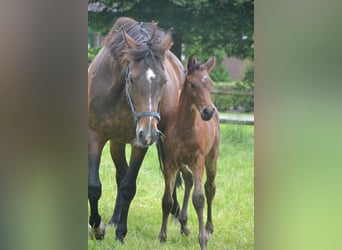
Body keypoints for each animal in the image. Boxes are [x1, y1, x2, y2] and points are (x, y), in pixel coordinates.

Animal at [88, 17, 184, 242]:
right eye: (131, 78)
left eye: (164, 81)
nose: (148, 133)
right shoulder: (95, 135)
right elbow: (94, 187)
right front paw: (98, 227)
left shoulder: (139, 144)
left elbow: (128, 186)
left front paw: (121, 233)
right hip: (117, 142)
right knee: (120, 174)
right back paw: (114, 219)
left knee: (171, 174)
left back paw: (175, 212)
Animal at [157, 55, 219, 250]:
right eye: (192, 84)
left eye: (211, 84)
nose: (208, 111)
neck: (184, 127)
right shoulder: (170, 162)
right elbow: (167, 200)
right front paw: (162, 236)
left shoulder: (198, 160)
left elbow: (198, 199)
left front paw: (202, 240)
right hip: (182, 162)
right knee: (189, 179)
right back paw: (184, 222)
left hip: (211, 157)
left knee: (210, 188)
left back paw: (208, 228)